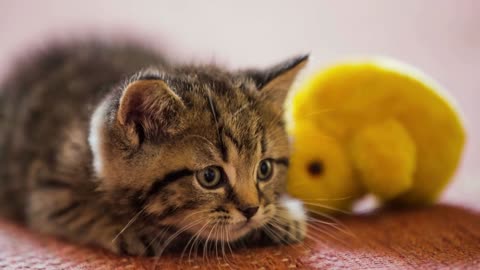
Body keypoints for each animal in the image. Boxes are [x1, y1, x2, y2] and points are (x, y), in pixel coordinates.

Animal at [0, 40, 308, 255]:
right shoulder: (48, 193)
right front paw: (128, 227)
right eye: (210, 177)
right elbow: (79, 210)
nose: (251, 210)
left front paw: (281, 214)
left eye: (264, 169)